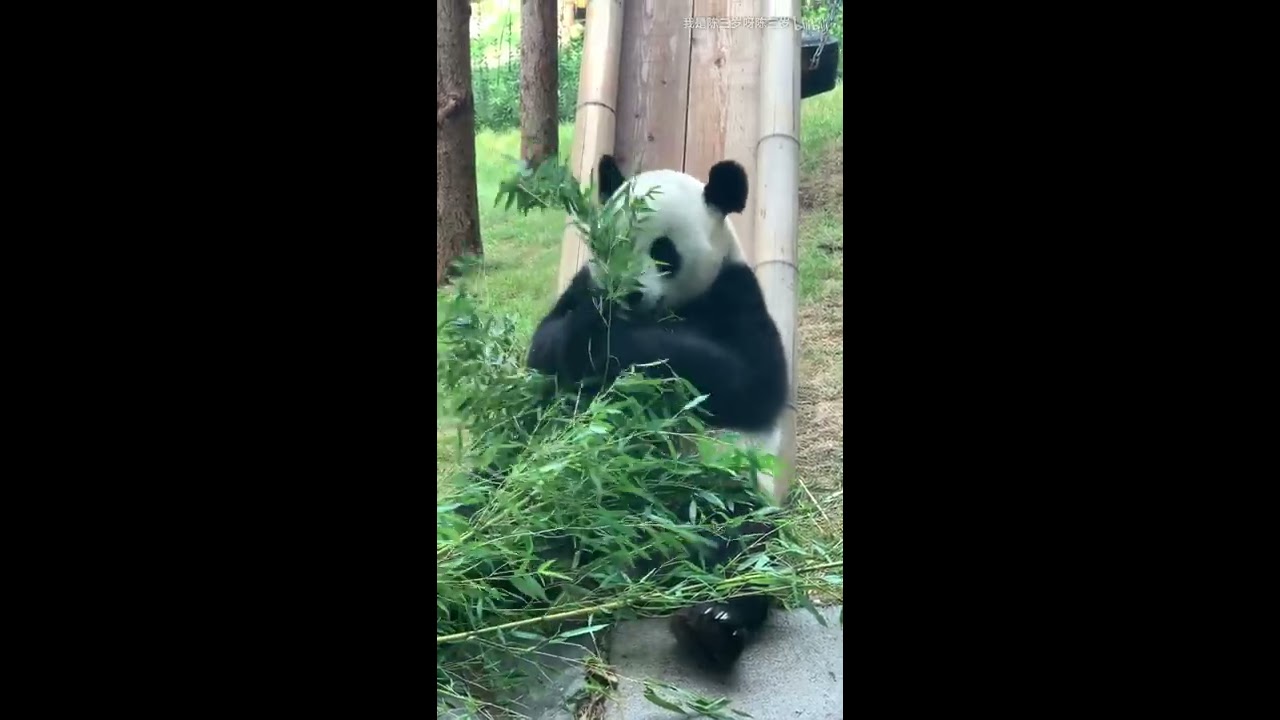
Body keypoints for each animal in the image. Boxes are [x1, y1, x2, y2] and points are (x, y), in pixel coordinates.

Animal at [526, 154, 790, 671]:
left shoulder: (735, 293)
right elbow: (544, 347)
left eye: (662, 251)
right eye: (614, 244)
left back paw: (713, 624)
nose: (628, 293)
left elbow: (747, 379)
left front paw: (607, 343)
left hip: (718, 494)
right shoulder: (582, 287)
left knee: (747, 547)